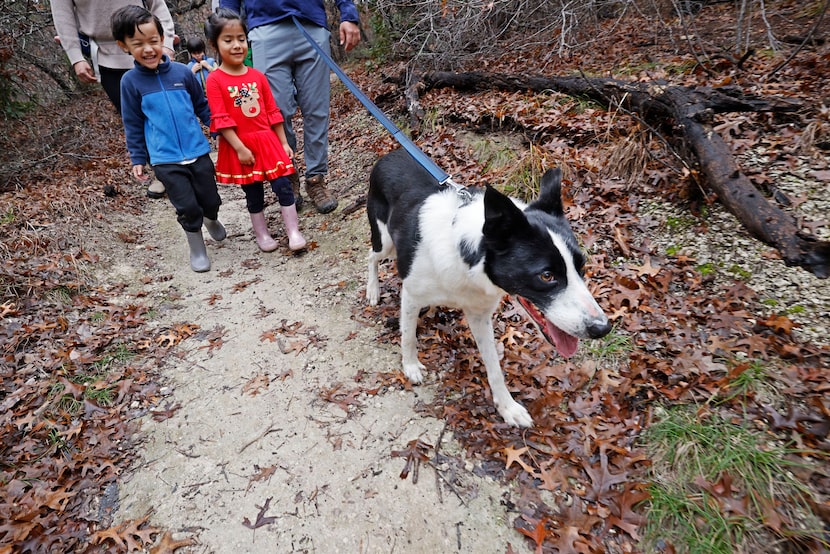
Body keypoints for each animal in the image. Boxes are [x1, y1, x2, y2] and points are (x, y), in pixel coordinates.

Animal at [368, 148, 616, 426]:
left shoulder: (479, 313)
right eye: (546, 276)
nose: (602, 328)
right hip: (385, 241)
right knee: (371, 256)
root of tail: (393, 153)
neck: (465, 257)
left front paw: (507, 407)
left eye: (581, 266)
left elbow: (494, 366)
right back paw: (373, 290)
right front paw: (410, 366)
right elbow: (408, 335)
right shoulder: (411, 295)